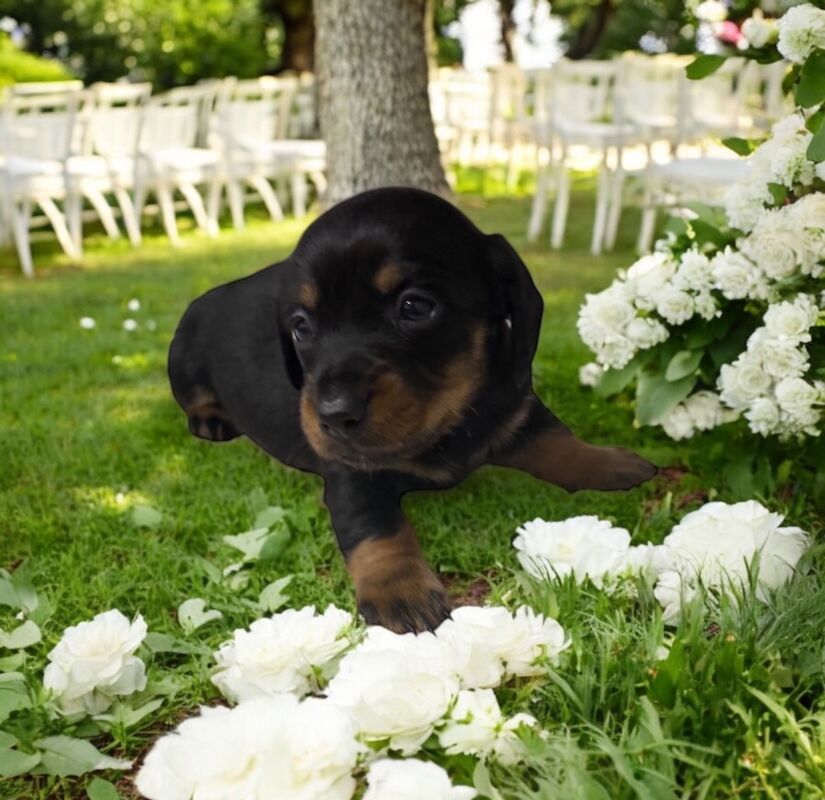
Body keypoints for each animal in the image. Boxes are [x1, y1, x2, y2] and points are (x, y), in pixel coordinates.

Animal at [169, 188, 656, 632]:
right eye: (301, 327)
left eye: (415, 307)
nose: (334, 415)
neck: (446, 423)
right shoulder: (350, 471)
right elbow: (376, 527)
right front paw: (401, 591)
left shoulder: (514, 406)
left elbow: (559, 440)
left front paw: (612, 463)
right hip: (183, 361)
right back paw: (211, 420)